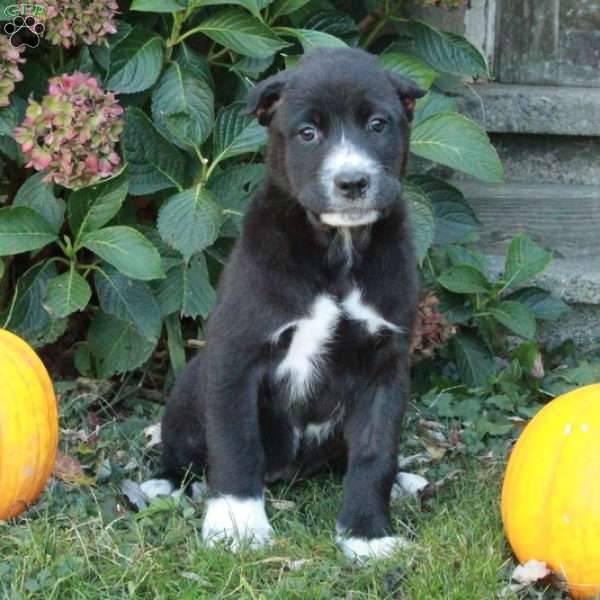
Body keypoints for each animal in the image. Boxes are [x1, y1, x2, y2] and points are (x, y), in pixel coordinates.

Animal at [145, 49, 424, 560]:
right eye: (307, 133)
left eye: (378, 124)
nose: (352, 181)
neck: (337, 250)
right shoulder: (237, 355)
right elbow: (236, 444)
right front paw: (237, 524)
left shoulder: (387, 362)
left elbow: (375, 452)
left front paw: (367, 534)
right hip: (192, 383)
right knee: (187, 450)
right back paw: (172, 484)